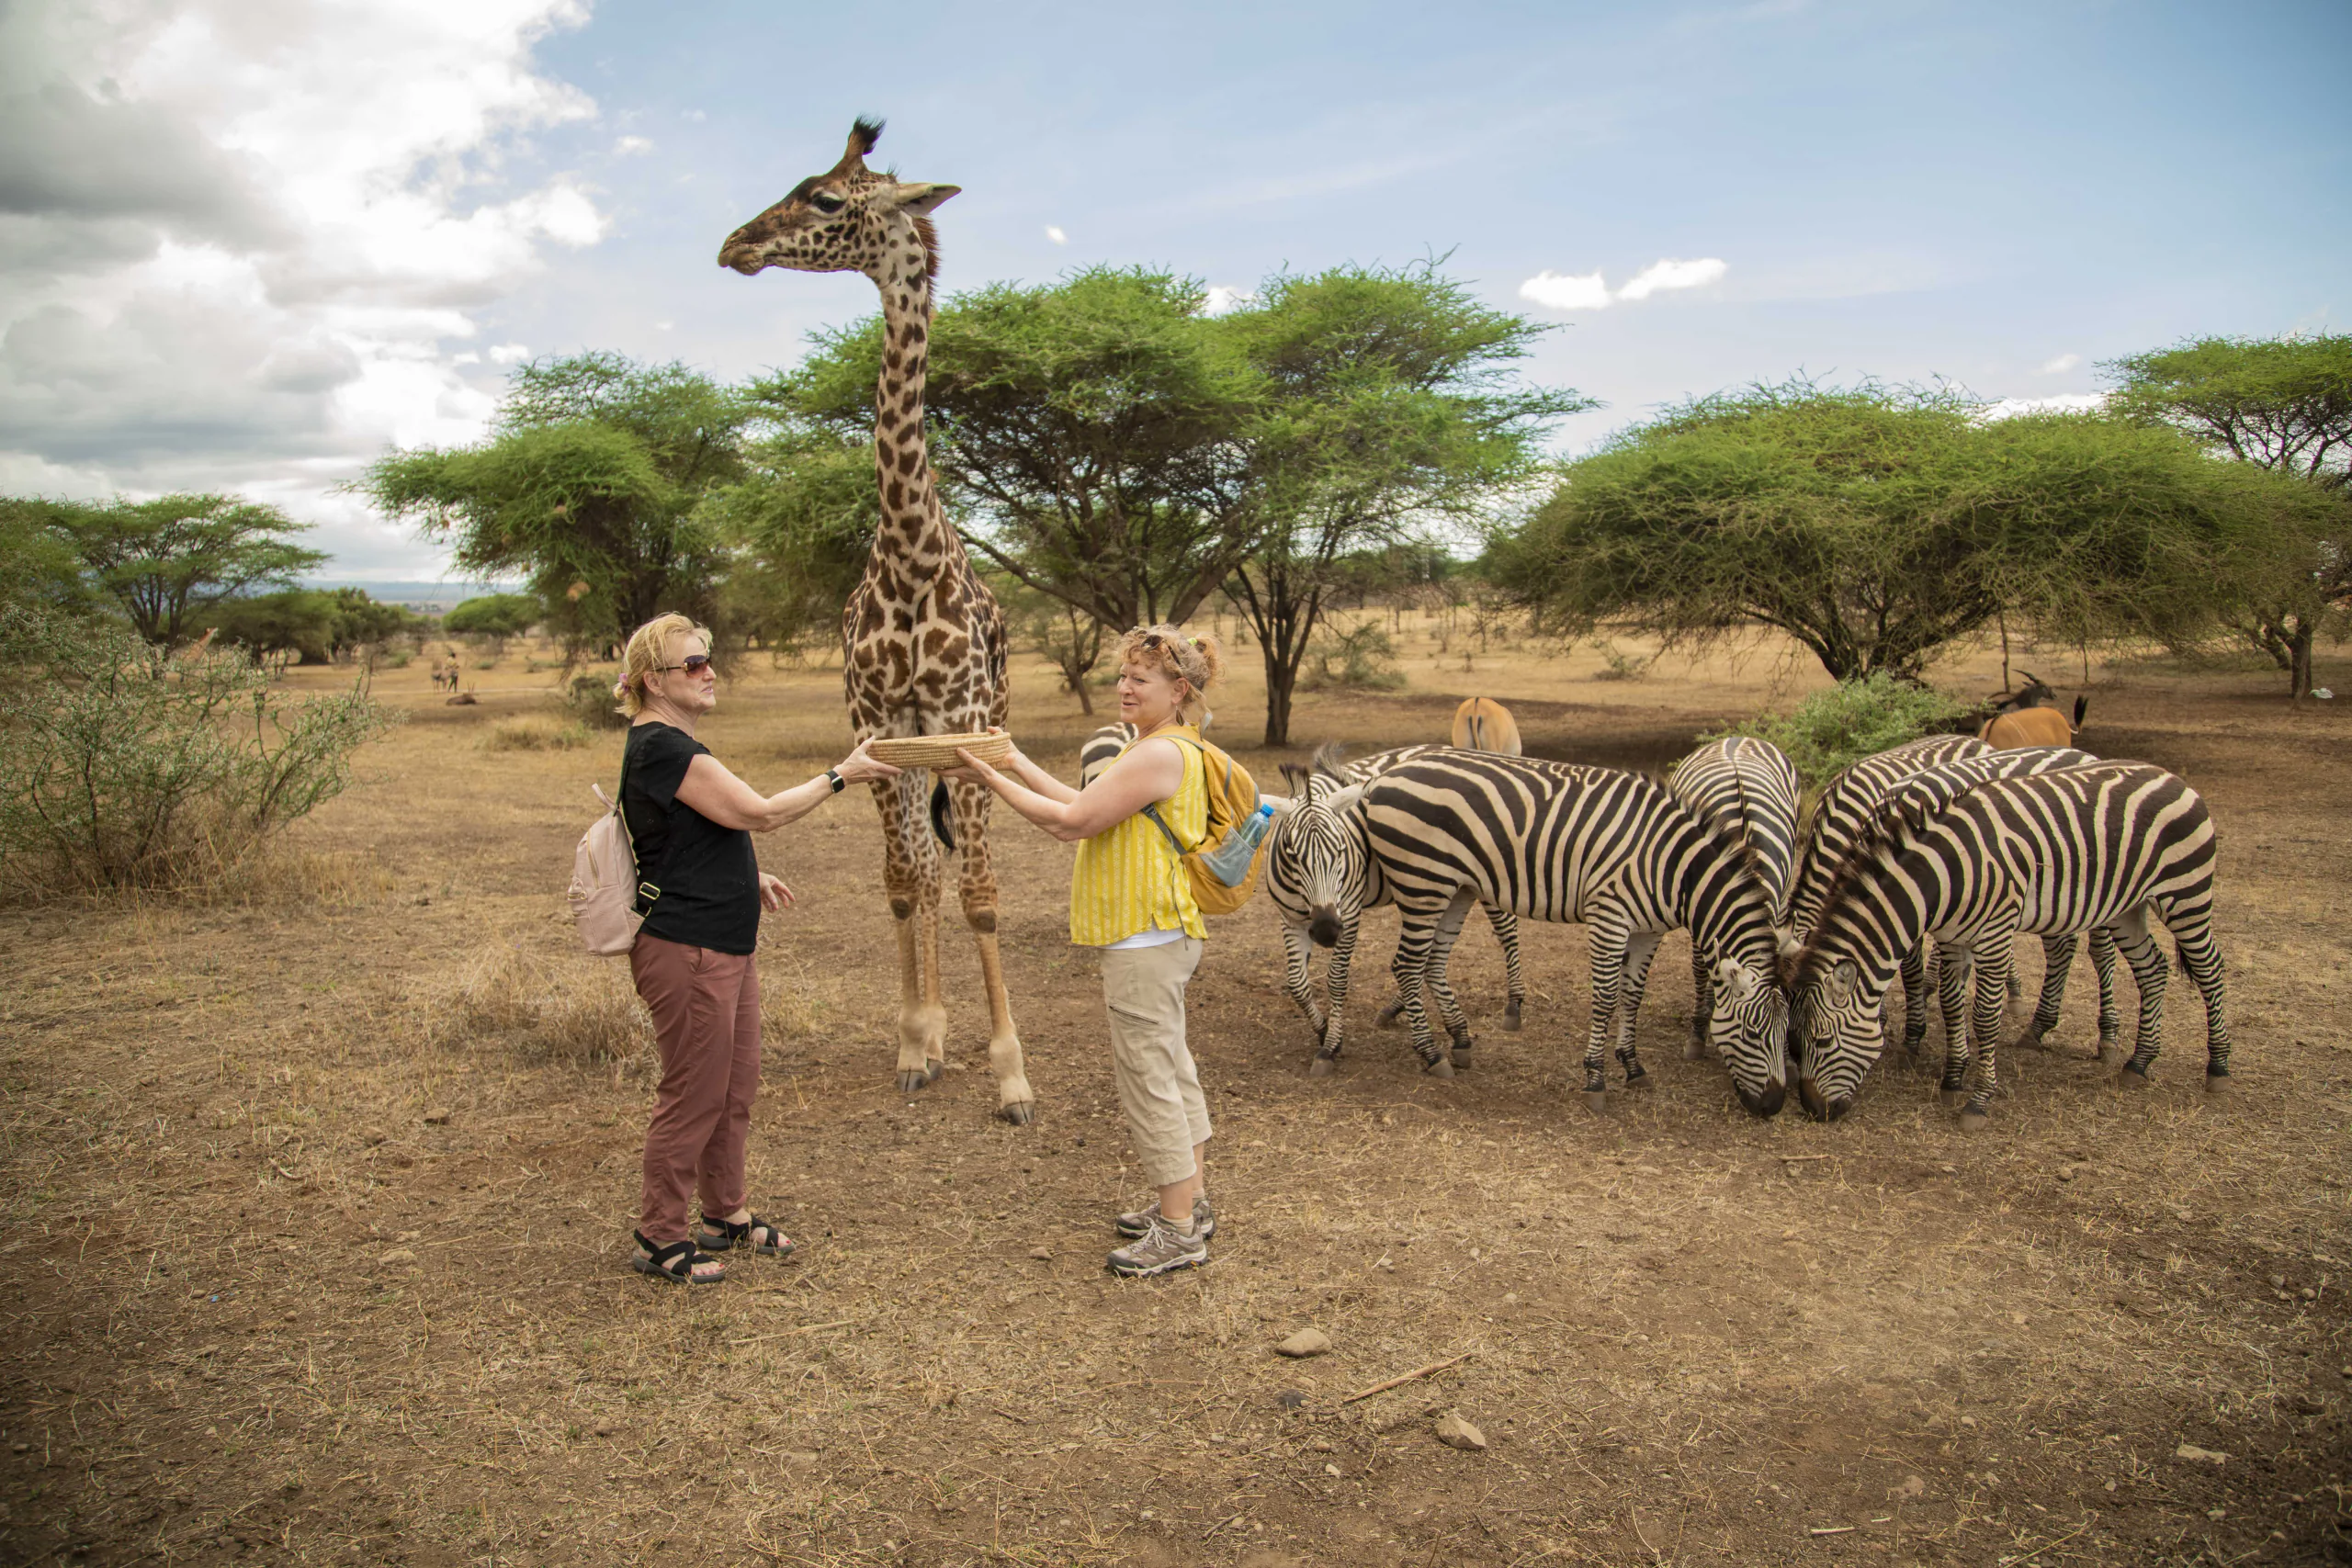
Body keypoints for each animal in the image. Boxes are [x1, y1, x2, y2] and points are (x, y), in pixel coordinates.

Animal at [718, 118, 1033, 1124]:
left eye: (824, 199)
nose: (735, 244)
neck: (908, 552)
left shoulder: (962, 723)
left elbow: (981, 891)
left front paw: (1012, 1075)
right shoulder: (876, 721)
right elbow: (904, 883)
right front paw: (912, 1040)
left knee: (956, 871)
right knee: (923, 871)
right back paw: (931, 1037)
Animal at [1261, 744, 1526, 1077]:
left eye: (1341, 851)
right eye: (1292, 853)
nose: (1326, 930)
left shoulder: (1349, 912)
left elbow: (1336, 979)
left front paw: (1330, 1046)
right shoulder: (1291, 919)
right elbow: (1296, 983)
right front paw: (1322, 1030)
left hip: (1483, 874)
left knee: (1507, 929)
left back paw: (1514, 1004)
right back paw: (1397, 1008)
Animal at [1359, 752, 1790, 1114]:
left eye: (1787, 1033)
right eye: (1753, 1032)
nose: (1773, 1106)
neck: (1674, 869)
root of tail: (1385, 775)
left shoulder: (1650, 930)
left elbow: (1633, 996)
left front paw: (1633, 1067)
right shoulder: (1609, 916)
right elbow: (1606, 998)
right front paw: (1595, 1080)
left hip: (1456, 888)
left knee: (1433, 962)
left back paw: (1461, 1042)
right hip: (1422, 882)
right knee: (1406, 965)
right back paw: (1432, 1054)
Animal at [1789, 761, 2233, 1128]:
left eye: (1822, 1041)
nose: (1813, 1110)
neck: (1944, 876)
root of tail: (2174, 778)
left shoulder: (1996, 933)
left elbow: (1985, 1016)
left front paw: (1978, 1100)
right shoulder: (1953, 937)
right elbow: (1951, 1004)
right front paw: (1953, 1078)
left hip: (2186, 892)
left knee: (2209, 969)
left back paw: (2218, 1067)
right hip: (2128, 905)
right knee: (2153, 969)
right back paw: (2138, 1063)